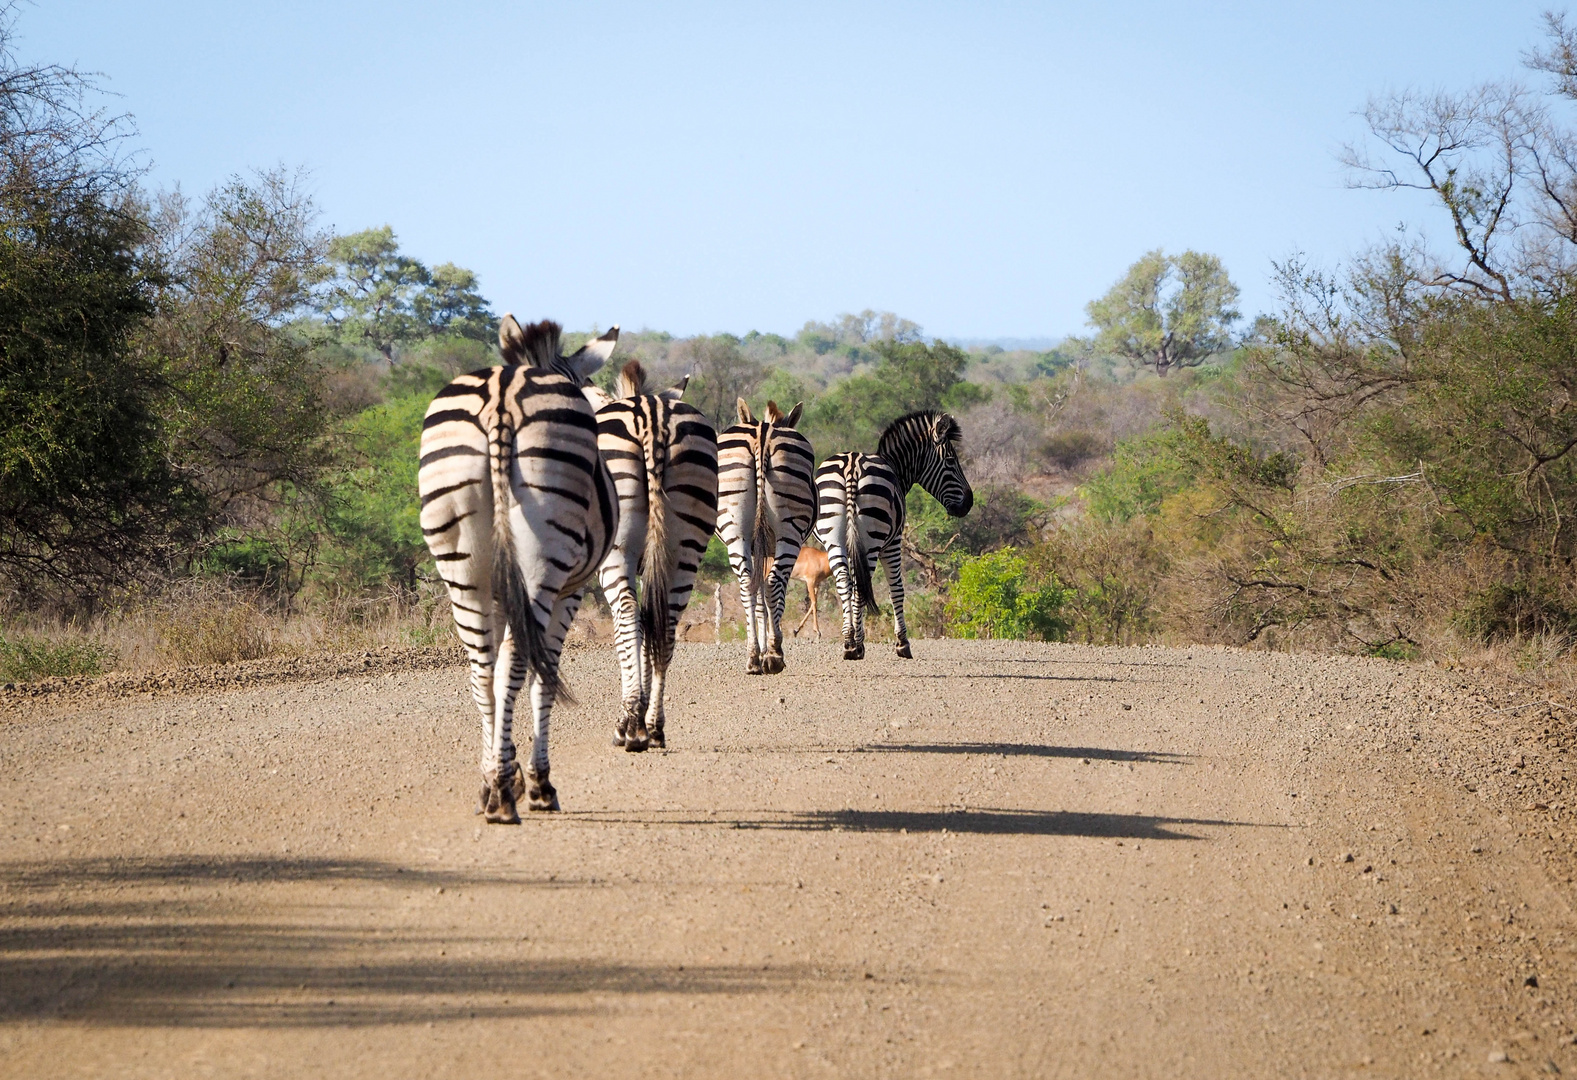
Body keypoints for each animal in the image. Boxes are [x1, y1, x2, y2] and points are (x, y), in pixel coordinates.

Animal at [419, 315, 621, 819]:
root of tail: (501, 395)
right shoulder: (570, 591)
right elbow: (541, 678)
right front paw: (537, 782)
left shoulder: (497, 592)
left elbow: (495, 674)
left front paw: (500, 770)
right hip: (542, 567)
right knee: (515, 664)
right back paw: (506, 795)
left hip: (461, 566)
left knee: (481, 669)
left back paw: (493, 789)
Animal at [589, 357, 719, 744]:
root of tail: (652, 416)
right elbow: (652, 622)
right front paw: (646, 712)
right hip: (687, 542)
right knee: (668, 620)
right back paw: (655, 724)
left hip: (615, 549)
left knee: (628, 613)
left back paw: (629, 725)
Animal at [715, 402, 813, 674]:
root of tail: (762, 431)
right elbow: (773, 597)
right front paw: (769, 649)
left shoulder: (755, 548)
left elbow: (758, 600)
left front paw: (759, 650)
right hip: (790, 531)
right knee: (772, 582)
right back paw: (775, 653)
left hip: (733, 526)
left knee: (747, 584)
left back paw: (752, 657)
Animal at [813, 413, 971, 662]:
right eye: (950, 461)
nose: (969, 503)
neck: (895, 468)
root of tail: (851, 466)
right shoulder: (894, 543)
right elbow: (897, 589)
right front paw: (902, 643)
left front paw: (855, 637)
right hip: (872, 541)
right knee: (861, 587)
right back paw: (857, 646)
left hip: (834, 540)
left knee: (844, 584)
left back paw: (848, 643)